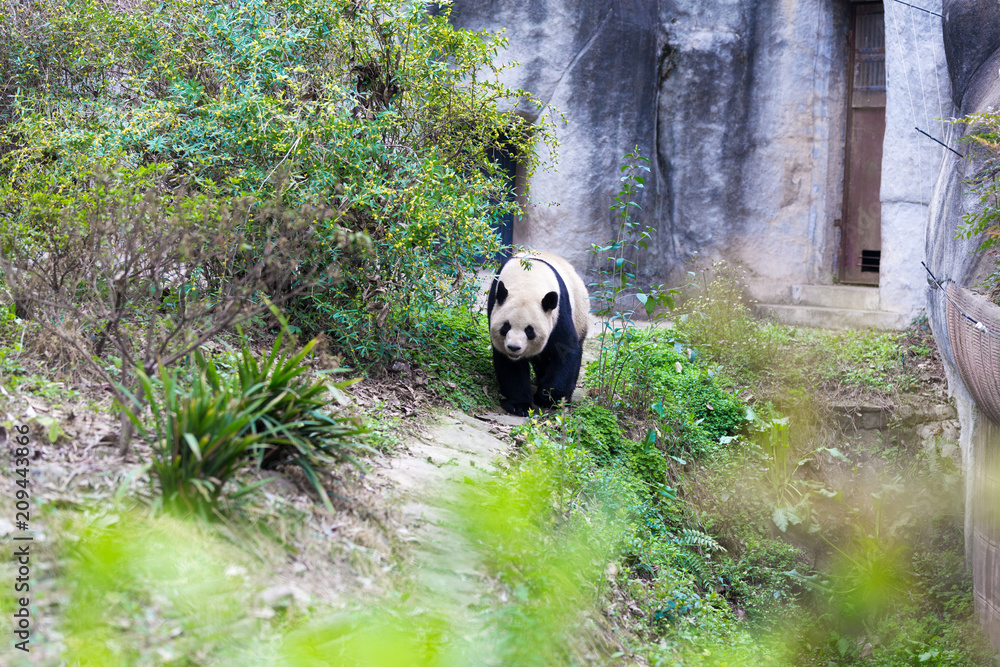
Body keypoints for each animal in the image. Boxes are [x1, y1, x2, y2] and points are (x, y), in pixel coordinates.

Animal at [488, 250, 588, 418]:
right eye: (506, 326)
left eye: (529, 330)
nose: (514, 347)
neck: (527, 279)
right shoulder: (494, 302)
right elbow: (510, 365)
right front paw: (519, 405)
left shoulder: (558, 312)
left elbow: (565, 350)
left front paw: (547, 397)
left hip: (580, 314)